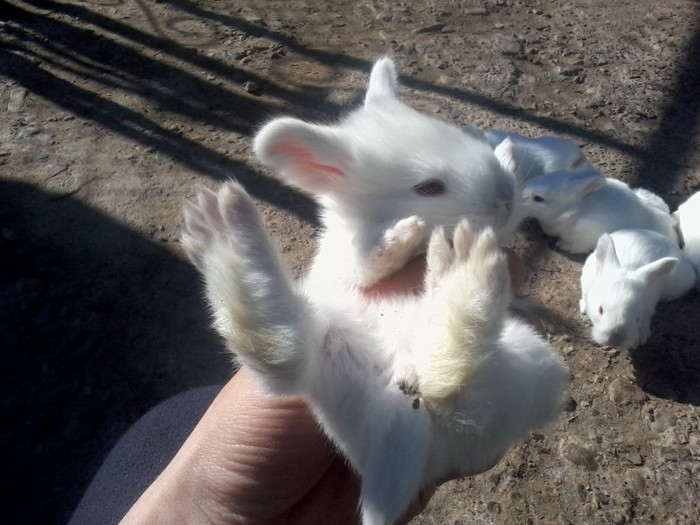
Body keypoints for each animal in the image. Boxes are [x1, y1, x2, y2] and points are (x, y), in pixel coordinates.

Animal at [520, 169, 680, 253]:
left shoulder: (583, 237)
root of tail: (670, 222)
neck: (571, 213)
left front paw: (561, 245)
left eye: (539, 198)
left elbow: (574, 246)